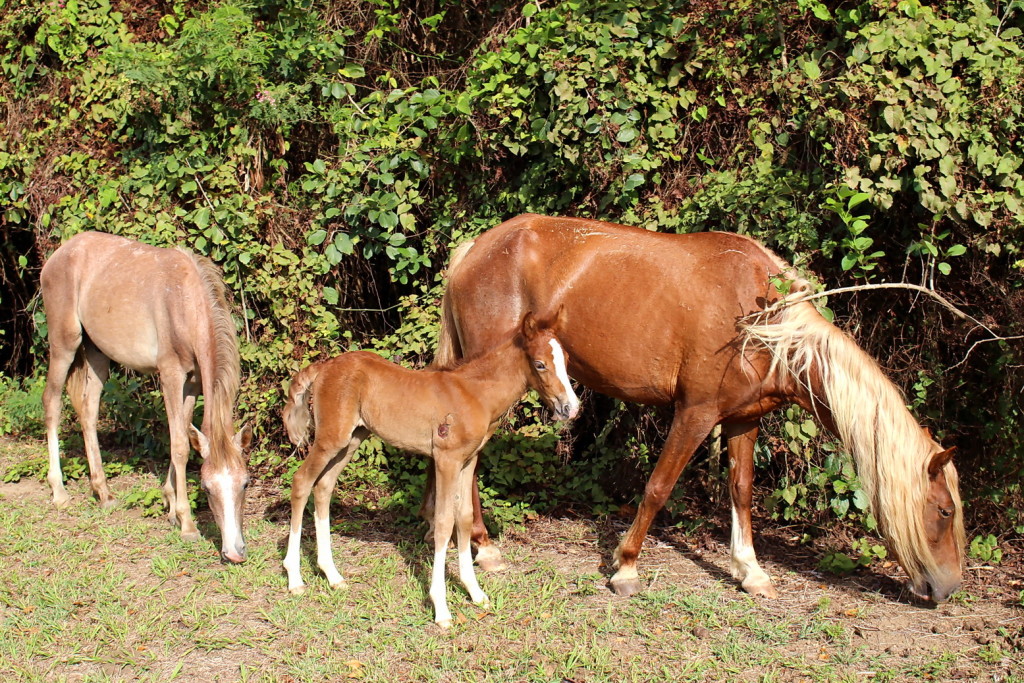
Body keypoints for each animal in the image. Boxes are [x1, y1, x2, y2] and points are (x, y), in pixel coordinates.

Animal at [41, 232, 253, 565]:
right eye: (206, 488)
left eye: (245, 483)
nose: (234, 553)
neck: (184, 302)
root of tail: (62, 251)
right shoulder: (170, 374)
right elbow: (179, 445)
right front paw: (187, 523)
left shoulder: (192, 383)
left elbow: (180, 437)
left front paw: (170, 505)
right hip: (64, 342)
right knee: (51, 403)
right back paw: (59, 492)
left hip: (97, 353)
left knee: (88, 411)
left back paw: (103, 493)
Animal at [280, 313, 581, 626]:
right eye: (540, 364)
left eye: (566, 359)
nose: (571, 408)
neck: (474, 393)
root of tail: (325, 366)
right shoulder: (446, 460)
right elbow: (444, 523)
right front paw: (442, 609)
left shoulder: (468, 460)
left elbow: (464, 517)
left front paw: (475, 592)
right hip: (330, 438)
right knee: (301, 481)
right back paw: (295, 578)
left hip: (352, 439)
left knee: (323, 487)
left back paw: (332, 575)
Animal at [432, 214, 966, 602]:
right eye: (943, 511)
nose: (946, 590)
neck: (758, 320)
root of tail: (473, 250)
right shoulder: (694, 414)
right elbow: (657, 488)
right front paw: (625, 567)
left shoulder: (744, 419)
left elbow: (742, 491)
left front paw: (751, 571)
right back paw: (485, 549)